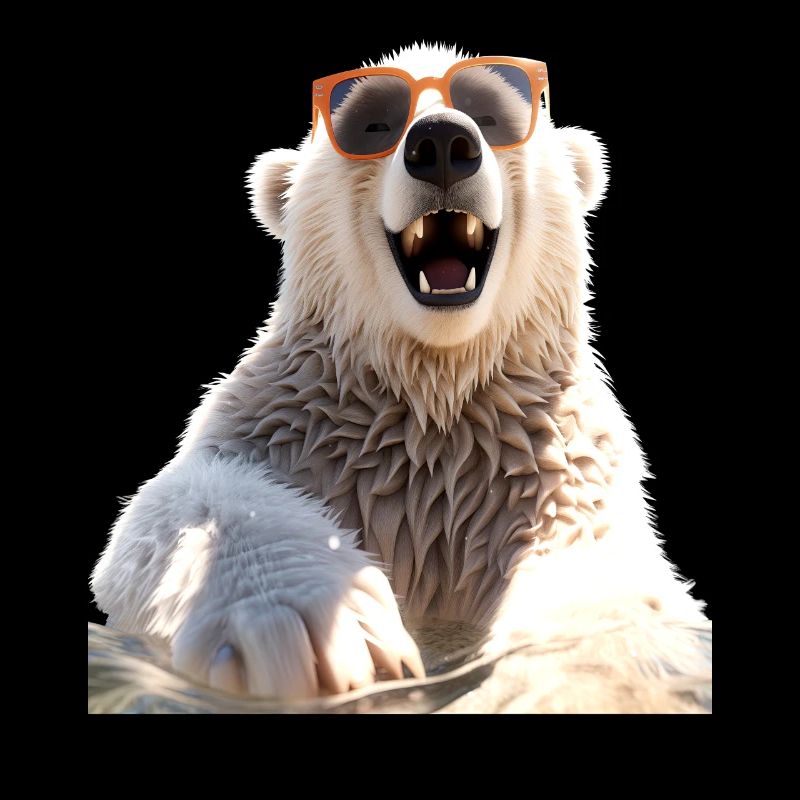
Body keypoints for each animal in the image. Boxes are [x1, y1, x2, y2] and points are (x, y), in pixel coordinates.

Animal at [92, 44, 708, 704]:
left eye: (490, 113)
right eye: (374, 124)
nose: (440, 142)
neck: (433, 404)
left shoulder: (545, 458)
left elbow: (595, 554)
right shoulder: (302, 426)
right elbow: (184, 501)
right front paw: (319, 635)